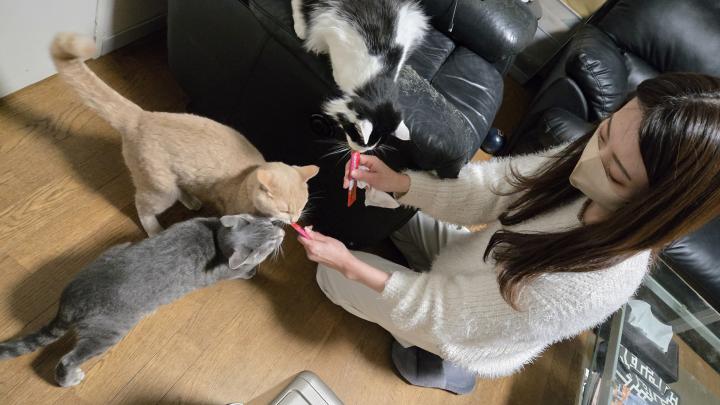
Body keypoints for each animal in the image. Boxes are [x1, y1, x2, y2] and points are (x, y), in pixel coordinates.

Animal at [0, 214, 284, 387]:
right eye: (270, 242)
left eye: (270, 226)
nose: (281, 231)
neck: (216, 239)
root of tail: (68, 304)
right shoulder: (230, 272)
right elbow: (243, 272)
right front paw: (252, 271)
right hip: (108, 333)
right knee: (69, 359)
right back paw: (70, 378)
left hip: (113, 250)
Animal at [50, 33, 319, 236]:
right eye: (285, 209)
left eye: (302, 206)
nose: (295, 218)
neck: (247, 177)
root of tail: (141, 116)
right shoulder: (232, 208)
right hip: (160, 189)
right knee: (143, 205)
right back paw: (155, 230)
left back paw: (191, 201)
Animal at [291, 0, 429, 151]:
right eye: (358, 136)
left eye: (371, 148)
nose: (358, 151)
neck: (376, 82)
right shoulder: (333, 33)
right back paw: (300, 29)